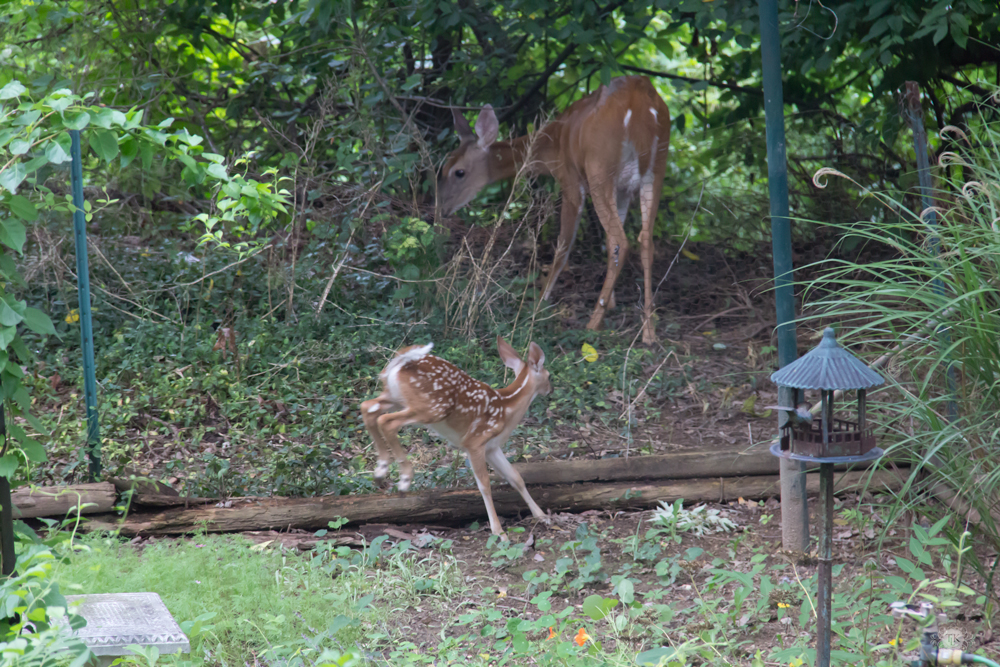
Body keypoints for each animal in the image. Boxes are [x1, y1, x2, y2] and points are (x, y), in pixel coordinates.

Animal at [360, 340, 552, 536]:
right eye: (549, 375)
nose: (550, 390)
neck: (506, 409)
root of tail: (401, 362)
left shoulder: (491, 447)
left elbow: (515, 477)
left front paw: (542, 516)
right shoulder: (475, 441)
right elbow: (484, 485)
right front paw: (499, 532)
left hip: (394, 397)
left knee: (367, 407)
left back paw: (380, 471)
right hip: (432, 408)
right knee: (387, 421)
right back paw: (404, 479)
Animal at [440, 75, 668, 342]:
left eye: (459, 172)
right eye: (443, 168)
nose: (442, 209)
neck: (554, 143)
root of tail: (640, 104)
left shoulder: (569, 179)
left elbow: (563, 246)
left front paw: (540, 302)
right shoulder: (622, 190)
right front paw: (612, 303)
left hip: (599, 167)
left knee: (620, 240)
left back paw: (593, 324)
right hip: (656, 170)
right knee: (645, 239)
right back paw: (649, 331)